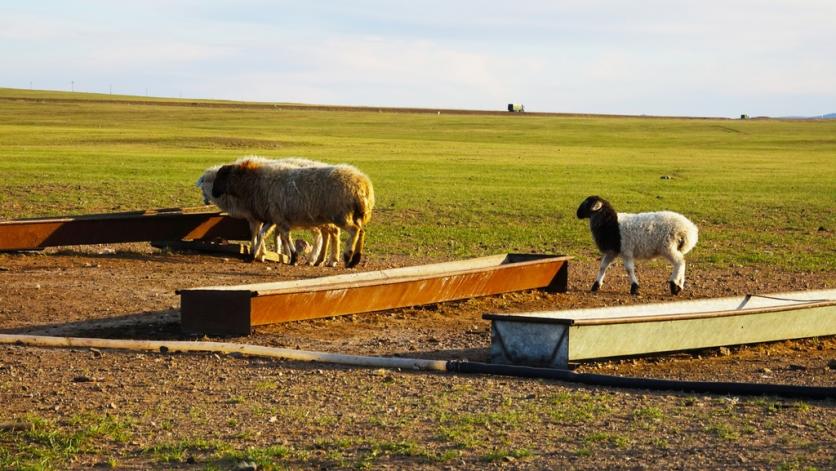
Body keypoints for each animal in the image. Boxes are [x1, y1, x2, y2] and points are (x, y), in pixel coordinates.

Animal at [212, 159, 376, 270]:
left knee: (353, 231)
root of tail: (363, 185)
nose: (214, 193)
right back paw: (354, 259)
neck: (254, 181)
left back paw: (347, 256)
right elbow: (262, 234)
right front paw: (254, 254)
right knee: (360, 231)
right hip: (355, 215)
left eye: (221, 177)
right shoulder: (273, 218)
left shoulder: (279, 218)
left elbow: (284, 236)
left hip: (341, 214)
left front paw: (293, 257)